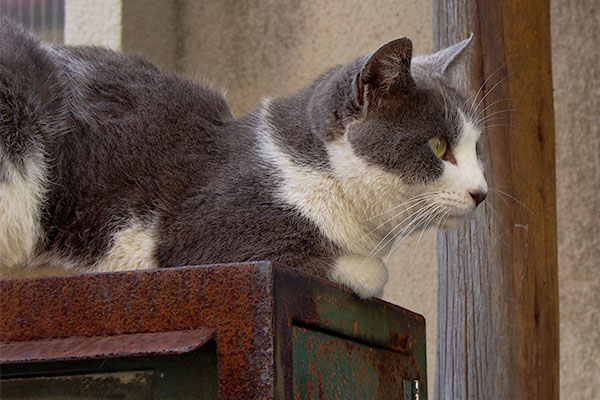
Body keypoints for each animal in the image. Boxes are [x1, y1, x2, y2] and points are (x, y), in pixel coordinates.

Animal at [0, 18, 488, 300]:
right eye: (438, 146)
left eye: (476, 149)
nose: (482, 192)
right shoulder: (204, 238)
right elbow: (368, 271)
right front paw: (365, 269)